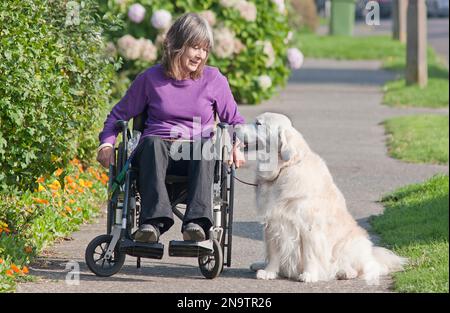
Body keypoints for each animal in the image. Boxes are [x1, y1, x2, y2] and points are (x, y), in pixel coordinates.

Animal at [236, 112, 408, 282]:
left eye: (258, 123)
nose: (236, 127)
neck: (283, 168)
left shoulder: (309, 224)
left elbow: (309, 253)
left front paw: (309, 275)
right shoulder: (273, 221)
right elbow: (273, 251)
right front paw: (269, 272)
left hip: (351, 244)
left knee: (356, 267)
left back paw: (344, 272)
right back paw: (259, 264)